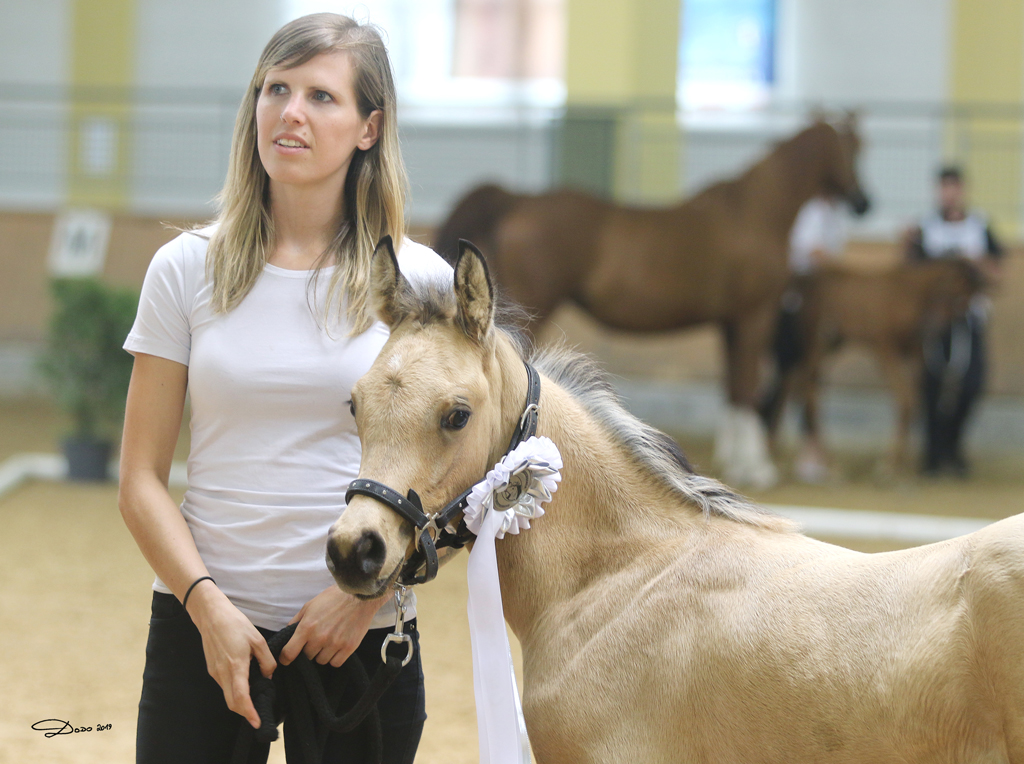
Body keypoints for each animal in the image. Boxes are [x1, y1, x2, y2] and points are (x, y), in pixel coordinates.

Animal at [436, 120, 868, 487]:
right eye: (852, 148)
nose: (864, 201)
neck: (755, 213)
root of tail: (518, 201)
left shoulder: (731, 323)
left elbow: (733, 387)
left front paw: (733, 461)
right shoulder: (753, 317)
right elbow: (746, 388)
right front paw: (755, 468)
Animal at [765, 259, 978, 479]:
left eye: (966, 303)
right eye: (950, 292)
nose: (933, 328)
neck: (907, 295)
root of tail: (805, 281)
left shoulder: (914, 353)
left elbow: (914, 402)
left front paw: (903, 467)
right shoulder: (885, 350)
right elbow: (905, 400)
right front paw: (888, 466)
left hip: (830, 344)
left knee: (792, 383)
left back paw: (775, 451)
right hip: (815, 344)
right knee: (806, 391)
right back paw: (828, 465)